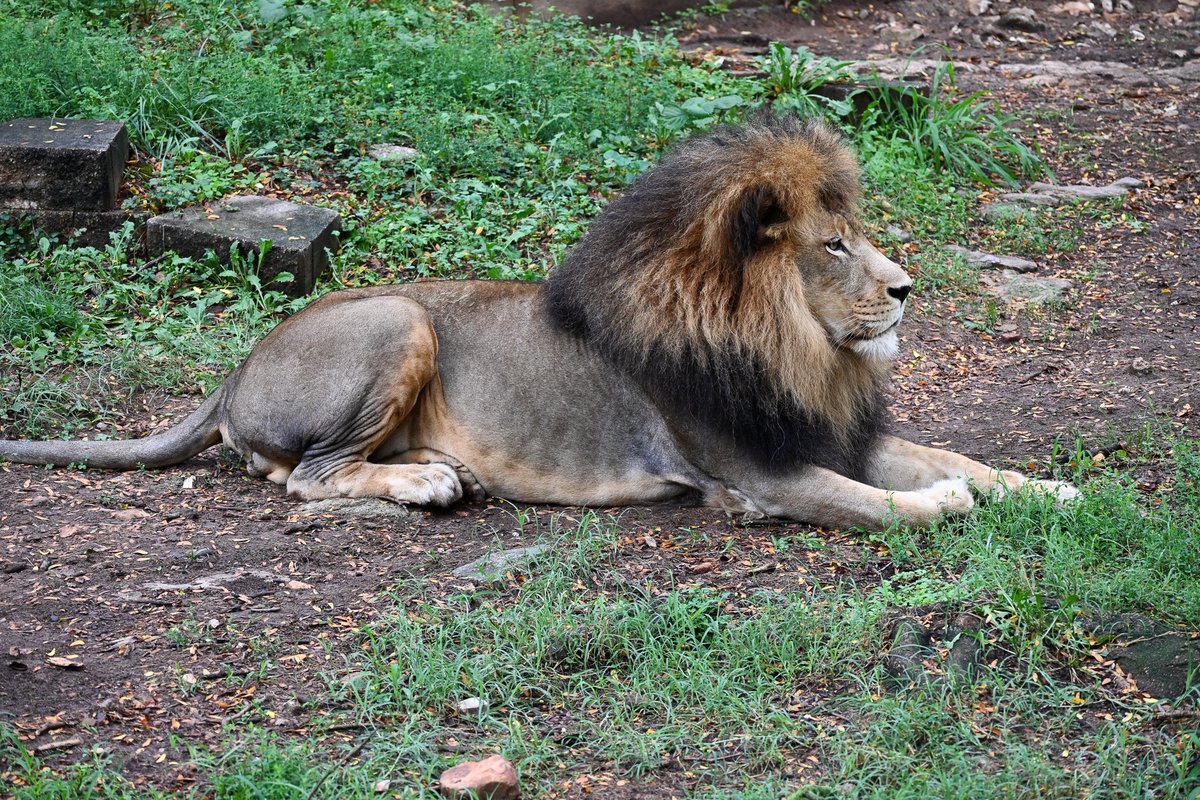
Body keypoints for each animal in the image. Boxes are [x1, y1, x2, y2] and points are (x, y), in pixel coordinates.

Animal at [0, 115, 1076, 530]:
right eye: (836, 245)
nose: (907, 289)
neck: (800, 352)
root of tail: (233, 368)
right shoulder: (758, 472)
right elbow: (883, 502)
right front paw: (945, 504)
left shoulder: (832, 431)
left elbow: (956, 456)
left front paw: (1054, 487)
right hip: (399, 317)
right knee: (302, 476)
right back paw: (428, 481)